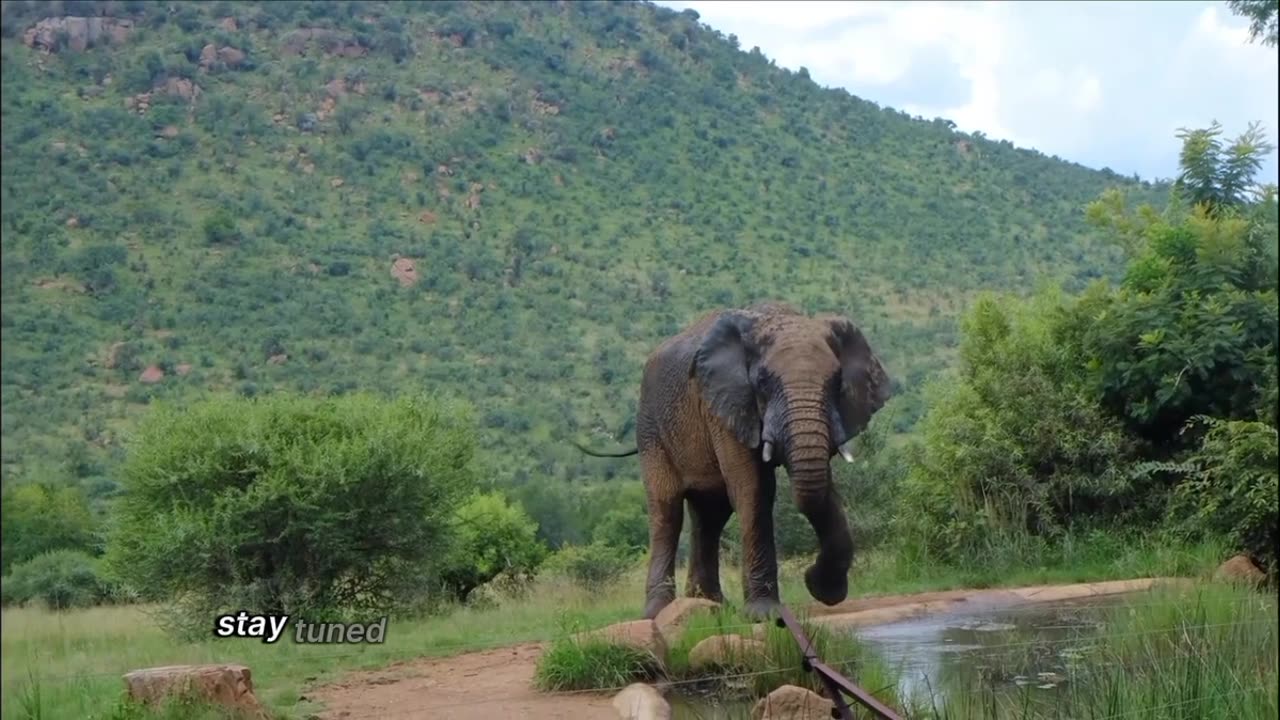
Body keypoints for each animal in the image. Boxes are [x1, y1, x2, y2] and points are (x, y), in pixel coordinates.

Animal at [581, 301, 890, 617]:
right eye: (763, 381)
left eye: (837, 381)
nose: (809, 575)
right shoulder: (727, 405)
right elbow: (753, 489)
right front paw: (766, 614)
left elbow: (821, 485)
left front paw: (824, 590)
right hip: (650, 428)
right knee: (667, 511)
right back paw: (659, 612)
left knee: (710, 516)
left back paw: (710, 604)